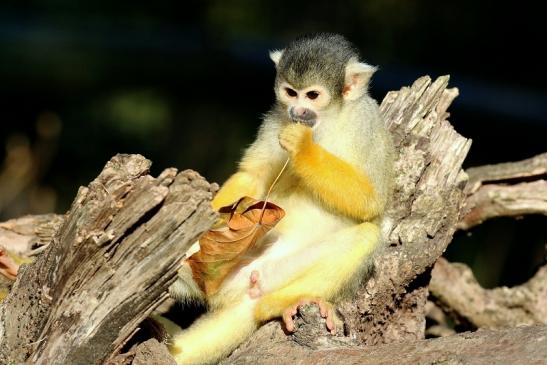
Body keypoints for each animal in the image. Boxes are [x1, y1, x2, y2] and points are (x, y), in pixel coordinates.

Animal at [166, 32, 394, 362]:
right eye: (290, 93)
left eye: (312, 95)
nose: (297, 112)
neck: (326, 123)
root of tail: (240, 292)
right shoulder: (275, 117)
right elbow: (254, 177)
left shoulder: (367, 123)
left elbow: (371, 202)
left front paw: (303, 148)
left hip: (276, 275)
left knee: (366, 235)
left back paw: (280, 303)